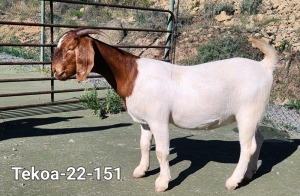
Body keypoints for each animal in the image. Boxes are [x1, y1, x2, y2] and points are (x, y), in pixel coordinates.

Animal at [52, 28, 278, 191]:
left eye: (71, 48)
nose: (55, 71)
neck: (132, 74)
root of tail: (264, 66)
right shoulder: (145, 122)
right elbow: (144, 145)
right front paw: (141, 170)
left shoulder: (158, 119)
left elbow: (161, 151)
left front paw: (162, 182)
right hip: (252, 115)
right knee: (259, 140)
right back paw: (249, 174)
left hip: (247, 112)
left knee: (247, 146)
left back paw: (233, 181)